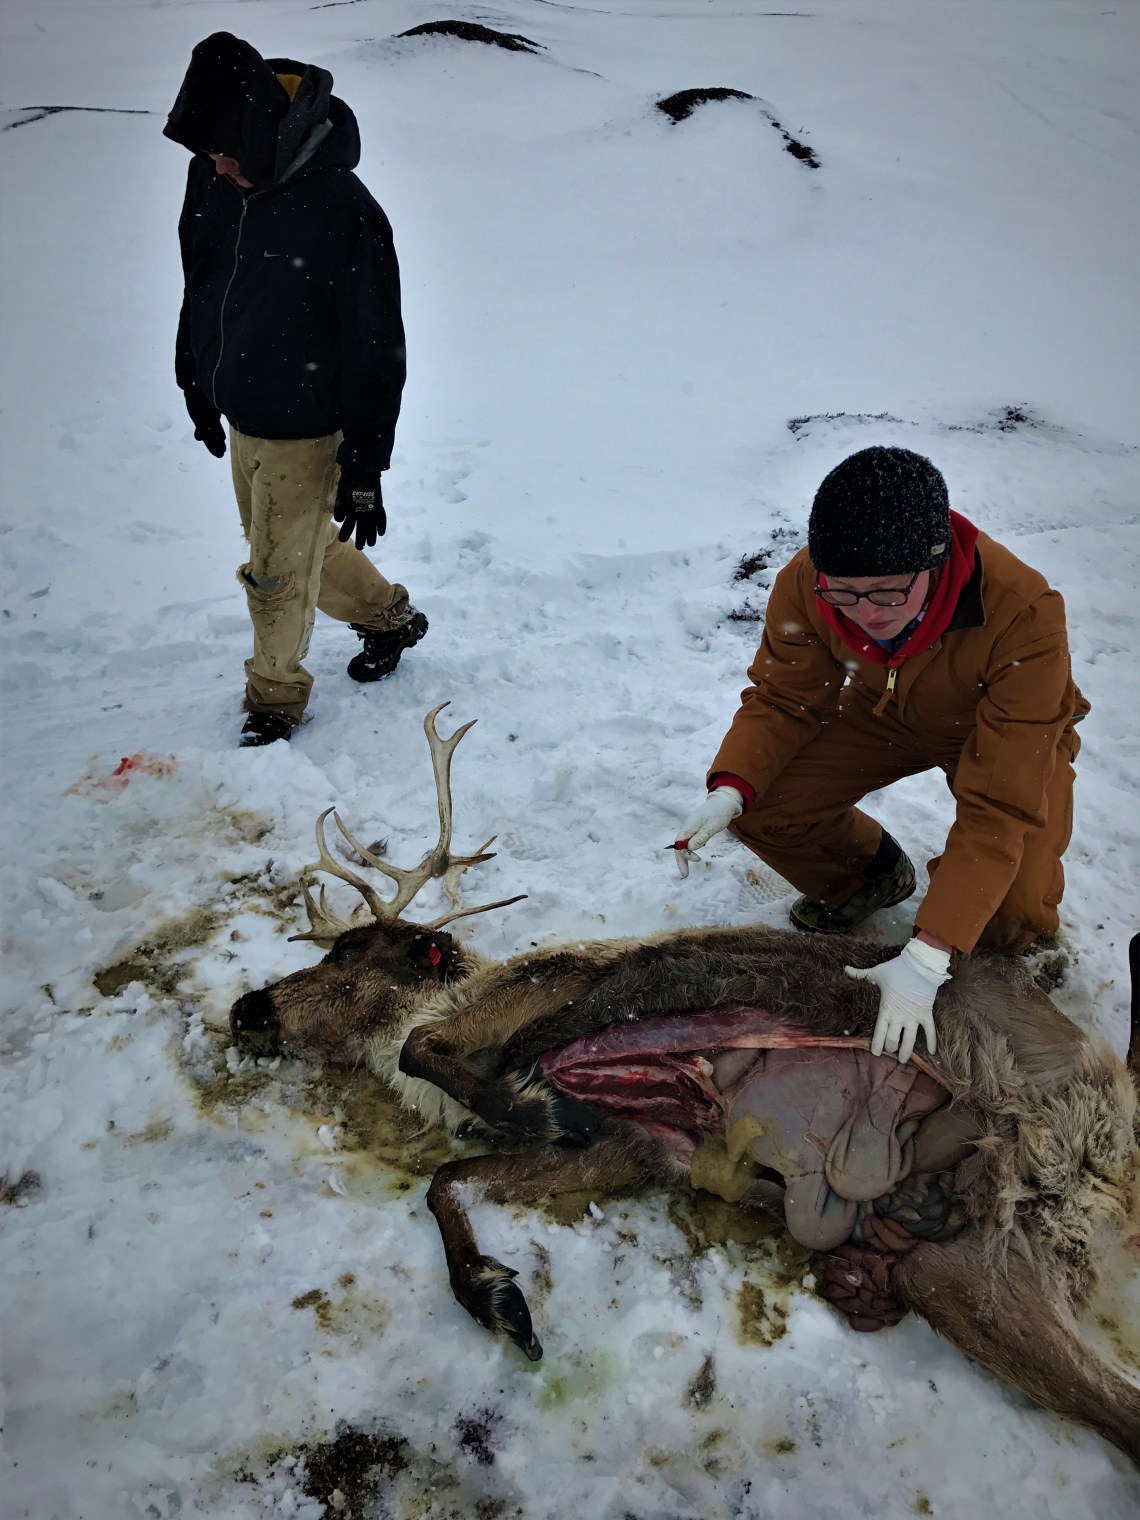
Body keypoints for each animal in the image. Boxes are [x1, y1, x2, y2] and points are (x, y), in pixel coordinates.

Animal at [229, 704, 1140, 1466]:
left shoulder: (560, 989)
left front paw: (526, 1102)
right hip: (968, 1275)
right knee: (1108, 1404)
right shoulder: (620, 1151)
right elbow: (448, 1180)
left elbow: (440, 1051)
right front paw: (501, 1299)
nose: (248, 1008)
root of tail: (1079, 1160)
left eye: (351, 960)